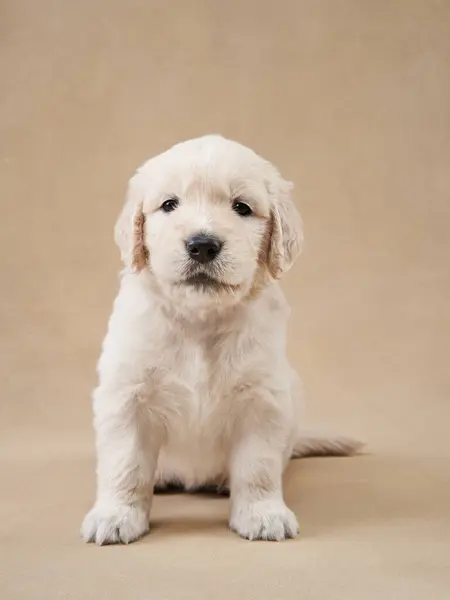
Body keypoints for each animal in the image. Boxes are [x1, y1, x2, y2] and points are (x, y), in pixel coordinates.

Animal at [81, 135, 362, 544]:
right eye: (169, 204)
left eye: (241, 207)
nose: (202, 245)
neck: (199, 320)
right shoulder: (126, 394)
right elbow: (125, 464)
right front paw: (115, 516)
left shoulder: (263, 398)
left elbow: (257, 467)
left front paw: (263, 514)